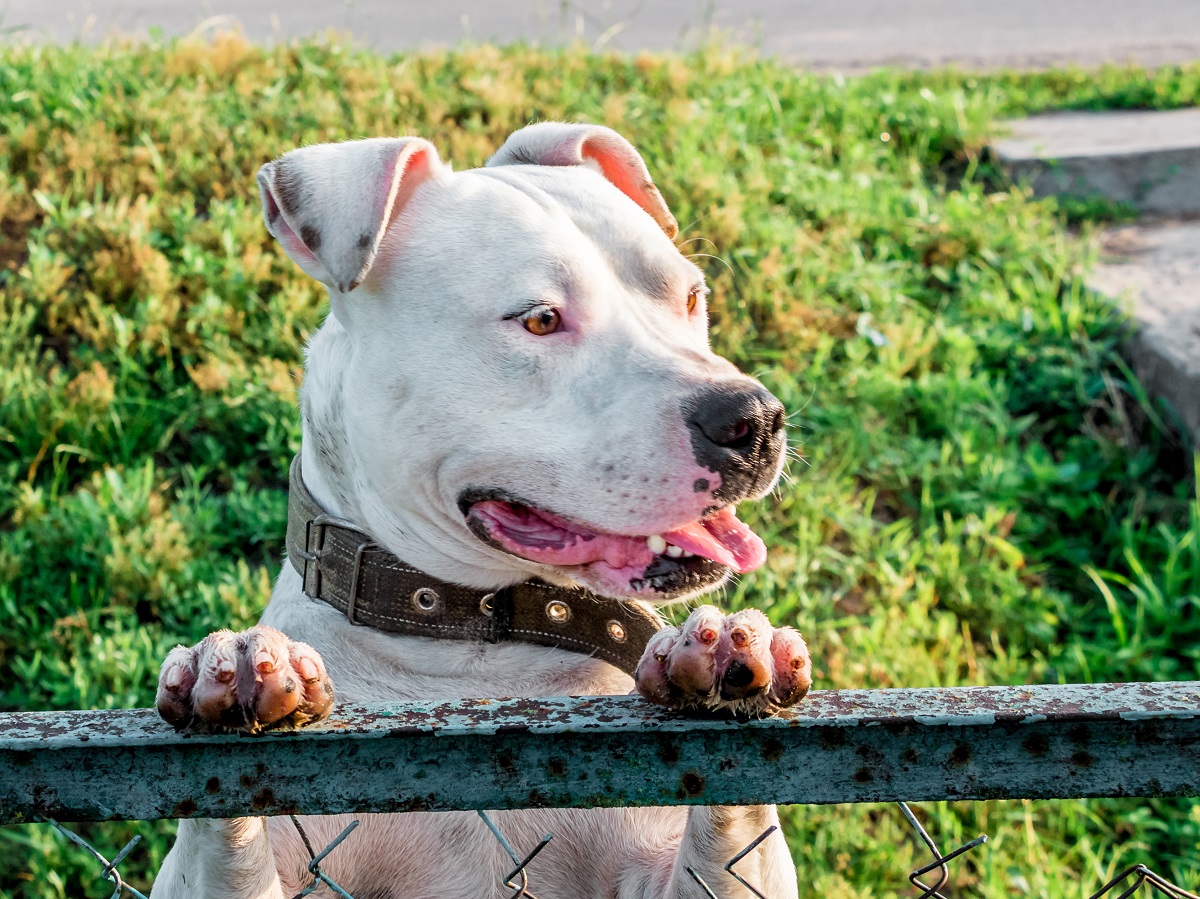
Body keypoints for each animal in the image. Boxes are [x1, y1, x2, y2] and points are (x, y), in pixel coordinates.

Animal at [147, 121, 806, 897]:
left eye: (691, 297)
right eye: (541, 319)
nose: (753, 419)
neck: (473, 654)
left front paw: (732, 649)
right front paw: (234, 662)